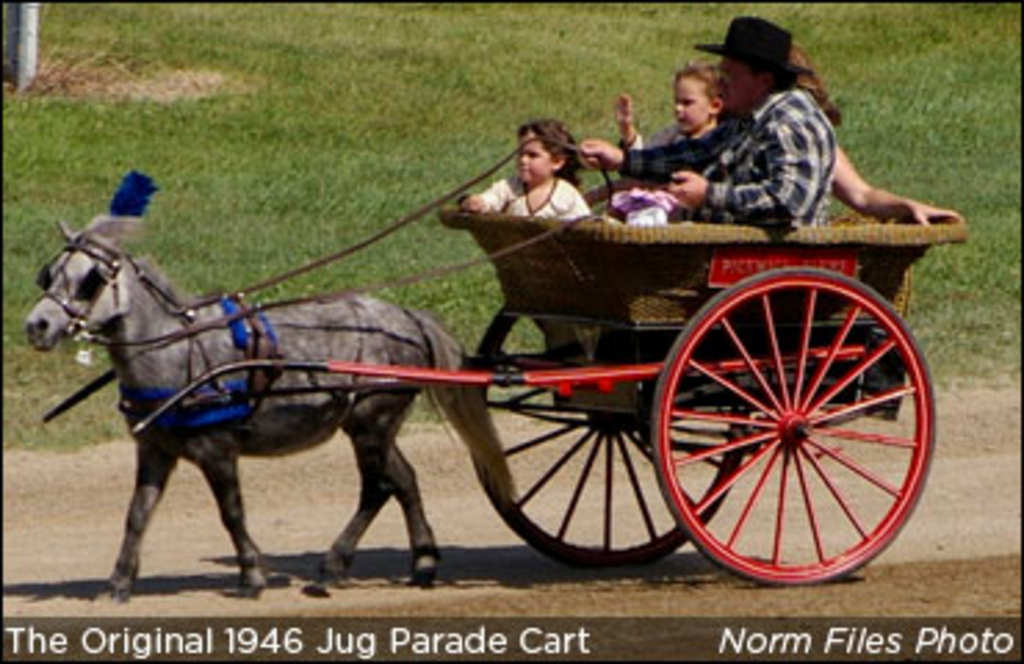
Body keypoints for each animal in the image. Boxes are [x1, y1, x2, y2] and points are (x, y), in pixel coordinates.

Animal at [25, 216, 512, 602]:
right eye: (49, 274)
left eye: (89, 279)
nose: (37, 325)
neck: (176, 353)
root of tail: (408, 318)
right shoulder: (155, 450)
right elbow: (137, 515)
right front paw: (119, 582)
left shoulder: (217, 449)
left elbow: (231, 512)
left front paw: (251, 575)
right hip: (370, 424)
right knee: (404, 480)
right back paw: (423, 564)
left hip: (373, 421)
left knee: (377, 488)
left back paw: (333, 566)